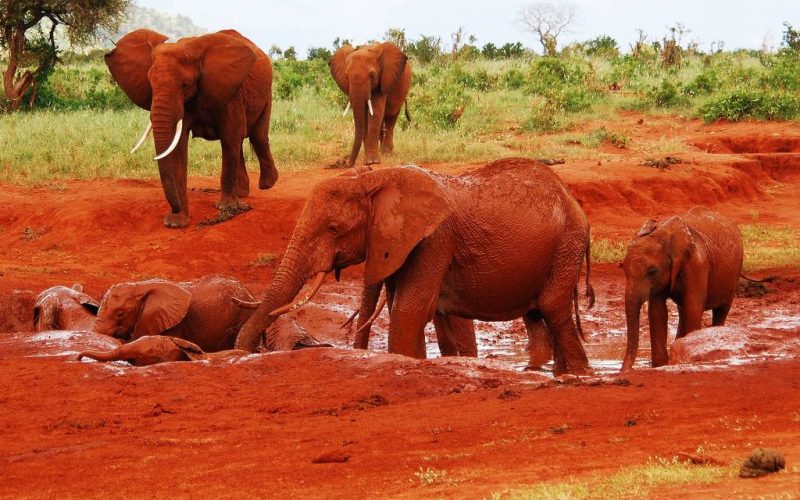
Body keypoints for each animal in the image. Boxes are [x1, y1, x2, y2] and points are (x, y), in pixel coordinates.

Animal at [104, 29, 278, 229]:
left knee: (256, 136)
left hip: (266, 93)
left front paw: (227, 208)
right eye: (150, 84)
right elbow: (178, 147)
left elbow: (230, 136)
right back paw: (242, 193)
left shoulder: (230, 93)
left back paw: (267, 184)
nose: (175, 209)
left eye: (185, 85)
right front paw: (176, 223)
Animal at [236, 157, 592, 376]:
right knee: (538, 313)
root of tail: (572, 200)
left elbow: (409, 310)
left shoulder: (434, 240)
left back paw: (578, 374)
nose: (243, 354)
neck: (377, 178)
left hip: (567, 244)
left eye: (334, 228)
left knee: (552, 307)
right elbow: (414, 310)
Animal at [620, 207, 748, 372]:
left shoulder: (697, 264)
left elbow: (693, 308)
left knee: (721, 310)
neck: (663, 234)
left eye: (652, 271)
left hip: (734, 273)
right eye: (622, 268)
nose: (623, 371)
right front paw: (661, 365)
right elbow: (657, 312)